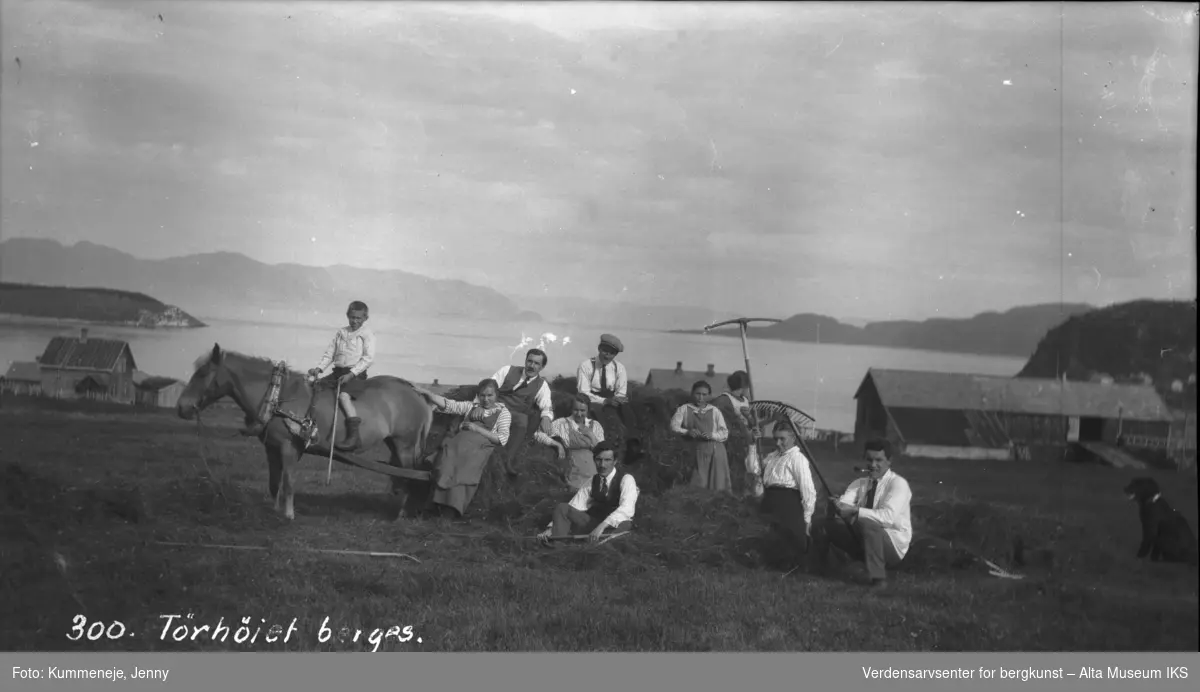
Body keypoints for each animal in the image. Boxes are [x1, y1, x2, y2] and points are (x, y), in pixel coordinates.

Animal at [177, 340, 436, 518]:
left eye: (202, 373)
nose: (182, 407)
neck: (278, 396)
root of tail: (417, 393)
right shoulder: (272, 449)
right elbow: (274, 482)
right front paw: (275, 510)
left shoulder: (289, 447)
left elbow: (289, 481)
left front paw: (289, 515)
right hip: (395, 444)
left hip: (405, 445)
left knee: (410, 475)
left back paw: (400, 514)